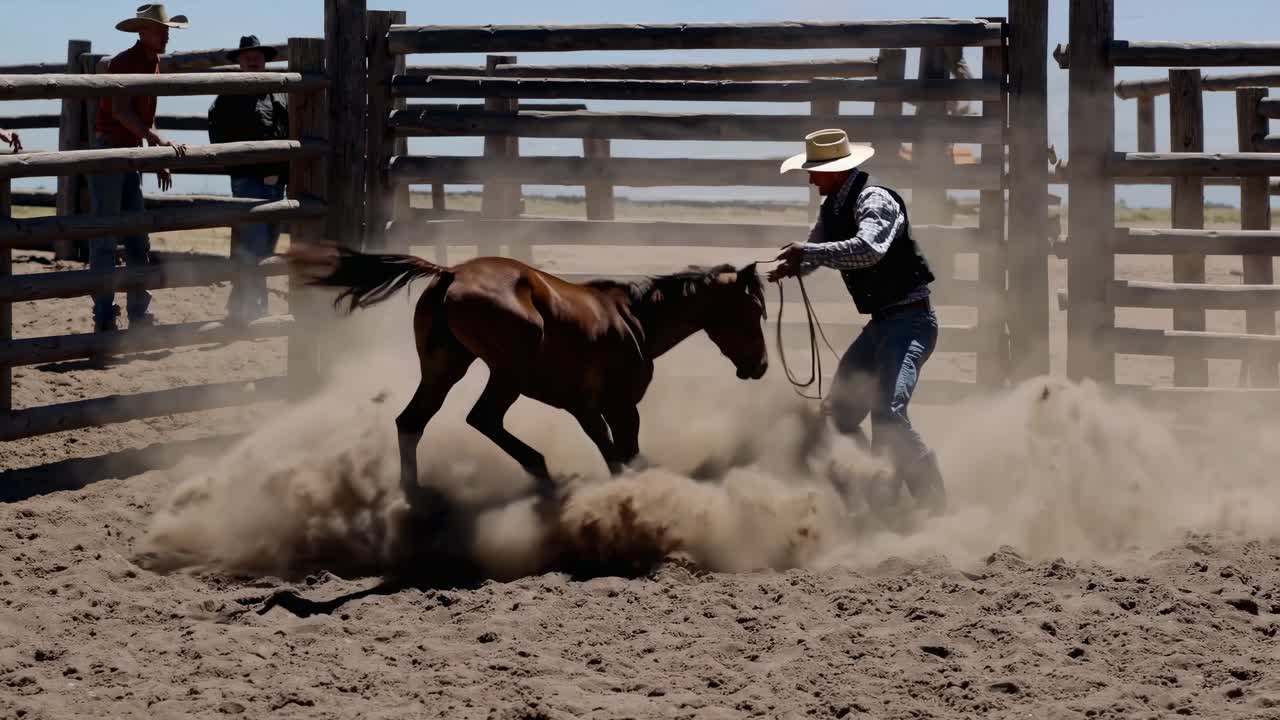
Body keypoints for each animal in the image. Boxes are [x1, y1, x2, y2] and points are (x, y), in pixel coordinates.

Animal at [289, 245, 770, 514]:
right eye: (753, 310)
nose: (762, 365)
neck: (635, 319)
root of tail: (452, 274)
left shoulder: (585, 408)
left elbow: (611, 451)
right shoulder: (620, 407)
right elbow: (622, 454)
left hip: (444, 367)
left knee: (411, 422)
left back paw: (416, 499)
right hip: (508, 372)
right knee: (482, 418)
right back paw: (545, 477)